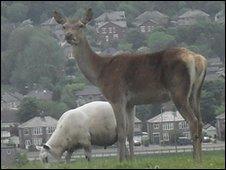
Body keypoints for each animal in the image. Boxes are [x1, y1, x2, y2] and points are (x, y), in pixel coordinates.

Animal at [53, 7, 207, 162]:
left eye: (81, 25)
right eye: (64, 26)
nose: (68, 36)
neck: (100, 73)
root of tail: (198, 59)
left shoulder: (116, 97)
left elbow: (121, 131)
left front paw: (120, 160)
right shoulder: (131, 103)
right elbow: (130, 132)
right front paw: (131, 160)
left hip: (178, 91)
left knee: (193, 121)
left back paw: (195, 159)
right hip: (195, 92)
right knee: (200, 121)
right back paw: (199, 158)